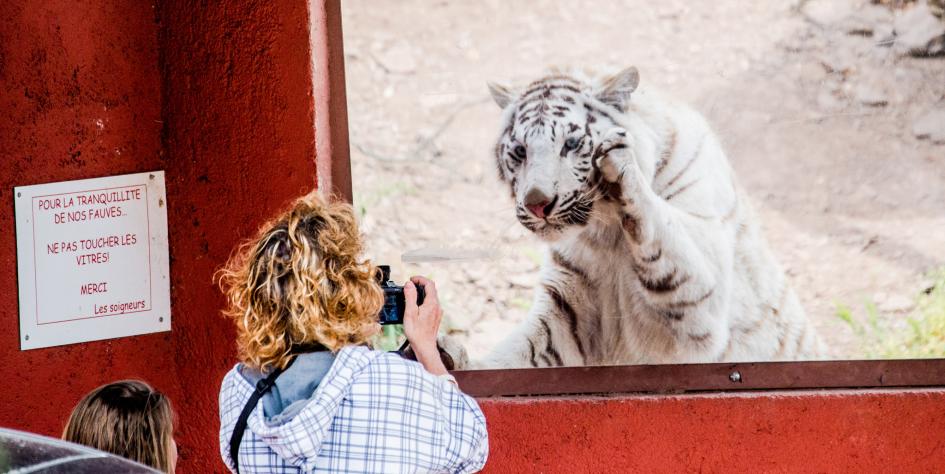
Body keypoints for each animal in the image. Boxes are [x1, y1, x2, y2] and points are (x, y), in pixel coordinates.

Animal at [454, 67, 824, 370]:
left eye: (571, 144)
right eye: (519, 151)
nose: (537, 204)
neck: (605, 231)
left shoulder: (704, 300)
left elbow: (665, 233)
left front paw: (620, 162)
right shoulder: (569, 312)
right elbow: (522, 351)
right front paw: (455, 356)